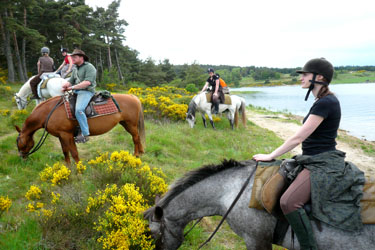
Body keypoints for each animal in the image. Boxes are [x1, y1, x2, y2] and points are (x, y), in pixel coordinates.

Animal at [15, 94, 145, 164]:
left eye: (19, 143)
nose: (22, 157)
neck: (49, 112)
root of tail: (133, 97)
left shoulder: (67, 135)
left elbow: (74, 153)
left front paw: (79, 170)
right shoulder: (61, 136)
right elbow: (65, 152)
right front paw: (68, 168)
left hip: (131, 124)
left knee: (135, 138)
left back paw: (136, 155)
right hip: (126, 124)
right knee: (138, 137)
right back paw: (141, 152)